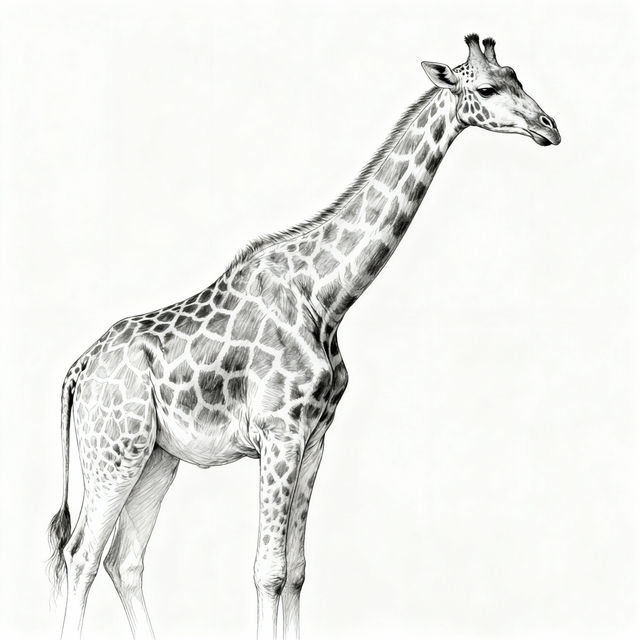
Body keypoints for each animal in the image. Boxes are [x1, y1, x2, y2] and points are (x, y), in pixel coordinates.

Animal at [48, 34, 560, 640]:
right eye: (485, 88)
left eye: (516, 76)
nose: (550, 126)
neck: (326, 297)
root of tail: (78, 370)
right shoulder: (279, 434)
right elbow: (267, 570)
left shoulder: (315, 437)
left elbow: (295, 571)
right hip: (113, 451)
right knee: (81, 554)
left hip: (155, 458)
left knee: (122, 559)